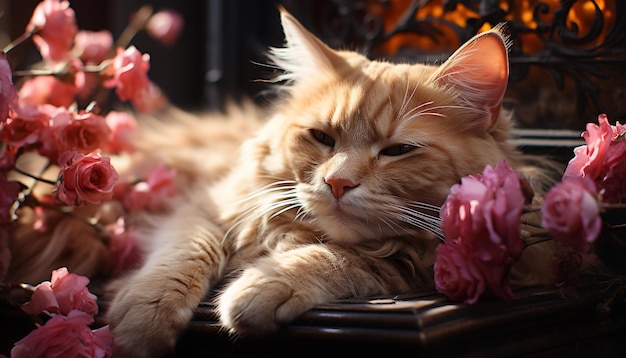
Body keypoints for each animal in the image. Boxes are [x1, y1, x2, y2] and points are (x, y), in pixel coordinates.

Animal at [106, 7, 552, 356]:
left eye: (397, 151)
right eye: (322, 138)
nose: (337, 183)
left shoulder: (432, 265)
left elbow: (346, 259)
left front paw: (264, 285)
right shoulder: (206, 205)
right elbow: (182, 255)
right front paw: (142, 320)